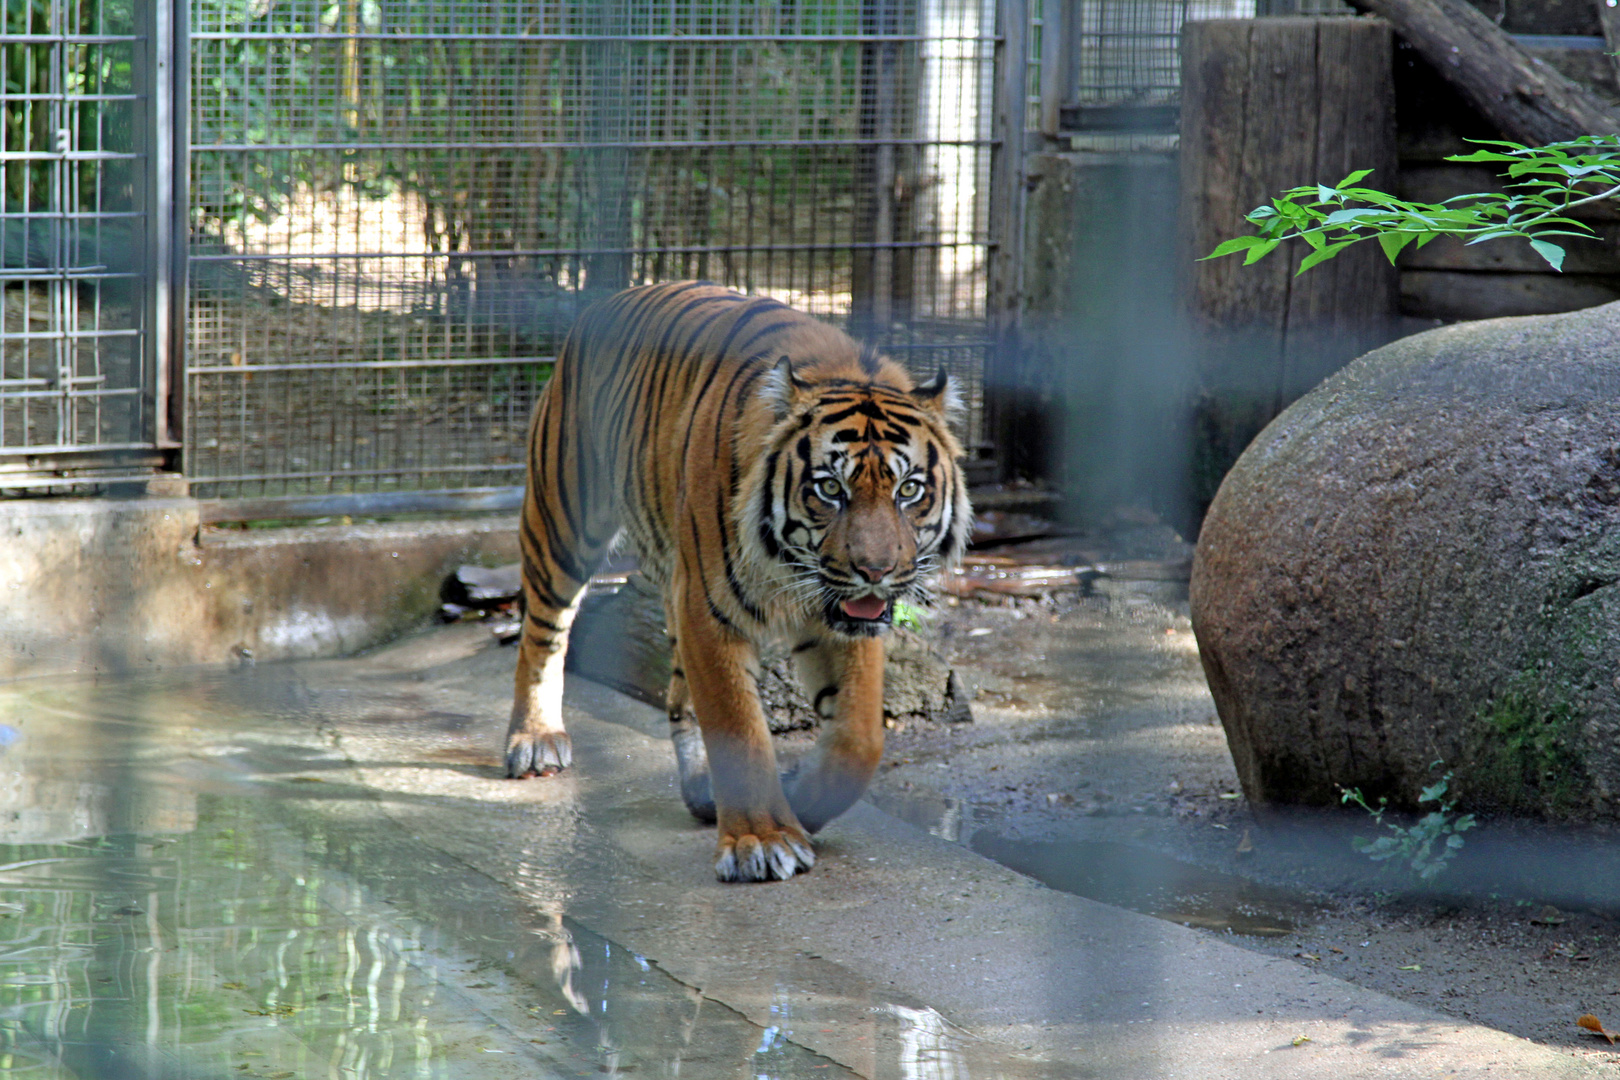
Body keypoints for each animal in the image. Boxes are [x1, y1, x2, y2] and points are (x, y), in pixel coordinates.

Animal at [505, 283, 965, 880]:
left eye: (909, 490)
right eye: (829, 488)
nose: (875, 570)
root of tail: (606, 301)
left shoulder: (838, 618)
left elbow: (859, 740)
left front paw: (802, 802)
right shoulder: (710, 606)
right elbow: (738, 724)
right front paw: (761, 841)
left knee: (679, 694)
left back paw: (703, 790)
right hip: (564, 522)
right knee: (542, 634)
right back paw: (535, 739)